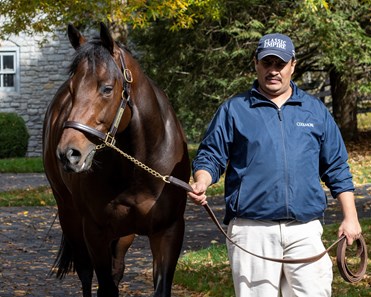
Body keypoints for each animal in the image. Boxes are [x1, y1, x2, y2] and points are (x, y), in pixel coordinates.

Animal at [42, 23, 190, 296]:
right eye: (72, 90)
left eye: (107, 88)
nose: (68, 154)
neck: (140, 165)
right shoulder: (95, 232)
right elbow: (104, 285)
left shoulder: (168, 232)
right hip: (70, 216)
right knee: (86, 273)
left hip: (123, 235)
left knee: (116, 269)